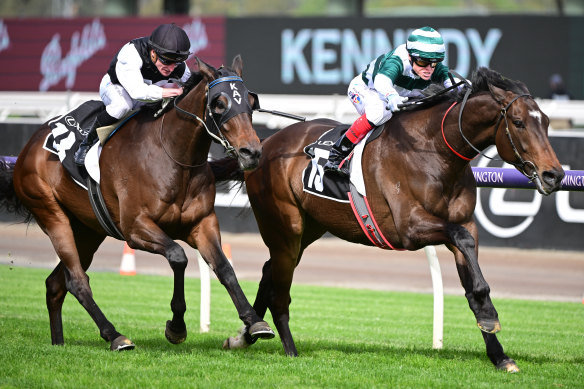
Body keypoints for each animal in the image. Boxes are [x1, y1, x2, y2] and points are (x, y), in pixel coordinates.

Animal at [0, 53, 274, 348]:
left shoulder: (202, 224)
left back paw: (59, 342)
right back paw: (115, 336)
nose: (251, 152)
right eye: (220, 103)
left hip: (88, 231)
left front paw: (254, 321)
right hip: (52, 214)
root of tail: (27, 150)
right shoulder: (136, 228)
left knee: (55, 284)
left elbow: (224, 267)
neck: (174, 157)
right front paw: (176, 327)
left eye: (251, 101)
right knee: (76, 280)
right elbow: (178, 257)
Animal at [214, 68, 564, 372]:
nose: (555, 175)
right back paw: (289, 350)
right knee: (280, 291)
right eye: (518, 122)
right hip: (285, 226)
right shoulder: (408, 228)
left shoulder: (465, 224)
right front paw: (491, 315)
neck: (432, 150)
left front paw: (499, 353)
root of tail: (264, 145)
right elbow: (461, 246)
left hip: (308, 227)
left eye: (546, 122)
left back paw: (245, 336)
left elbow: (471, 279)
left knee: (269, 271)